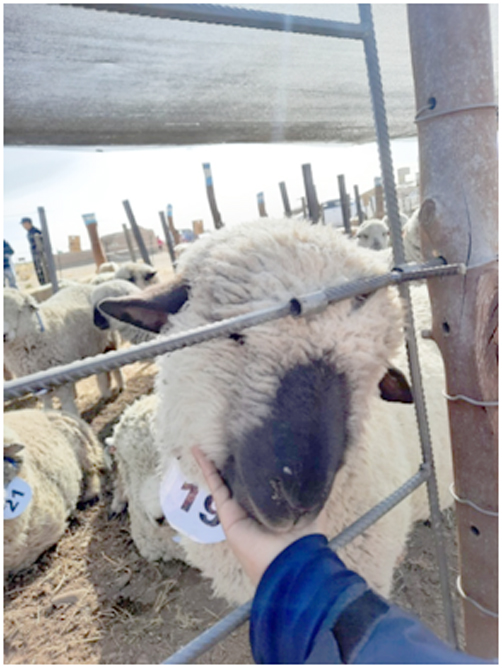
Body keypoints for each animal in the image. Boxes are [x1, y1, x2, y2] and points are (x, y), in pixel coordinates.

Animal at [3, 282, 124, 412]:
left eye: (19, 311)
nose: (4, 335)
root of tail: (87, 286)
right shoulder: (36, 382)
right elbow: (47, 402)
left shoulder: (60, 374)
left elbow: (66, 401)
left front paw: (71, 414)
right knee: (102, 372)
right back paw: (105, 392)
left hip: (109, 341)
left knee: (113, 368)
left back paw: (118, 387)